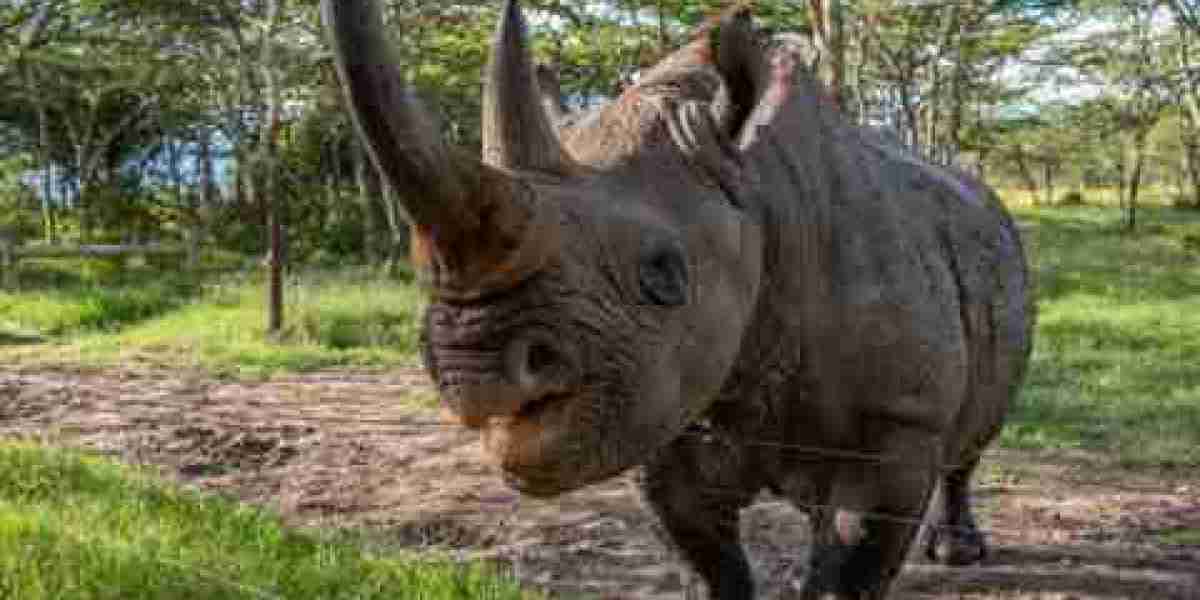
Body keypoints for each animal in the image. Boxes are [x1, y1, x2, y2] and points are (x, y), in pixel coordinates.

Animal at [324, 2, 1036, 597]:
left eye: (664, 274)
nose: (471, 368)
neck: (759, 191)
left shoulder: (897, 424)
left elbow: (847, 567)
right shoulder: (666, 400)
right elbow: (711, 560)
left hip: (1004, 260)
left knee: (976, 432)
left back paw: (957, 553)